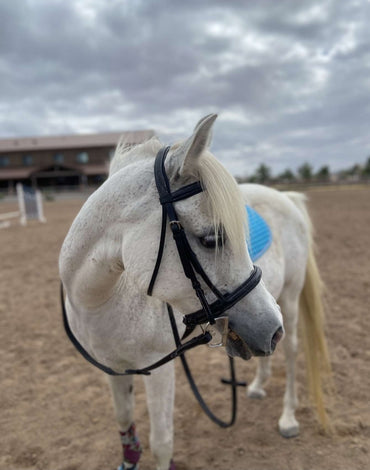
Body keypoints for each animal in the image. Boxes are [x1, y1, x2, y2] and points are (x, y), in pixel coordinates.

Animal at [58, 114, 284, 470]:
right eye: (211, 239)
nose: (273, 330)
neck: (102, 301)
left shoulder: (159, 369)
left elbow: (162, 442)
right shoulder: (113, 367)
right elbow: (123, 418)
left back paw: (289, 419)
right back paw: (257, 388)